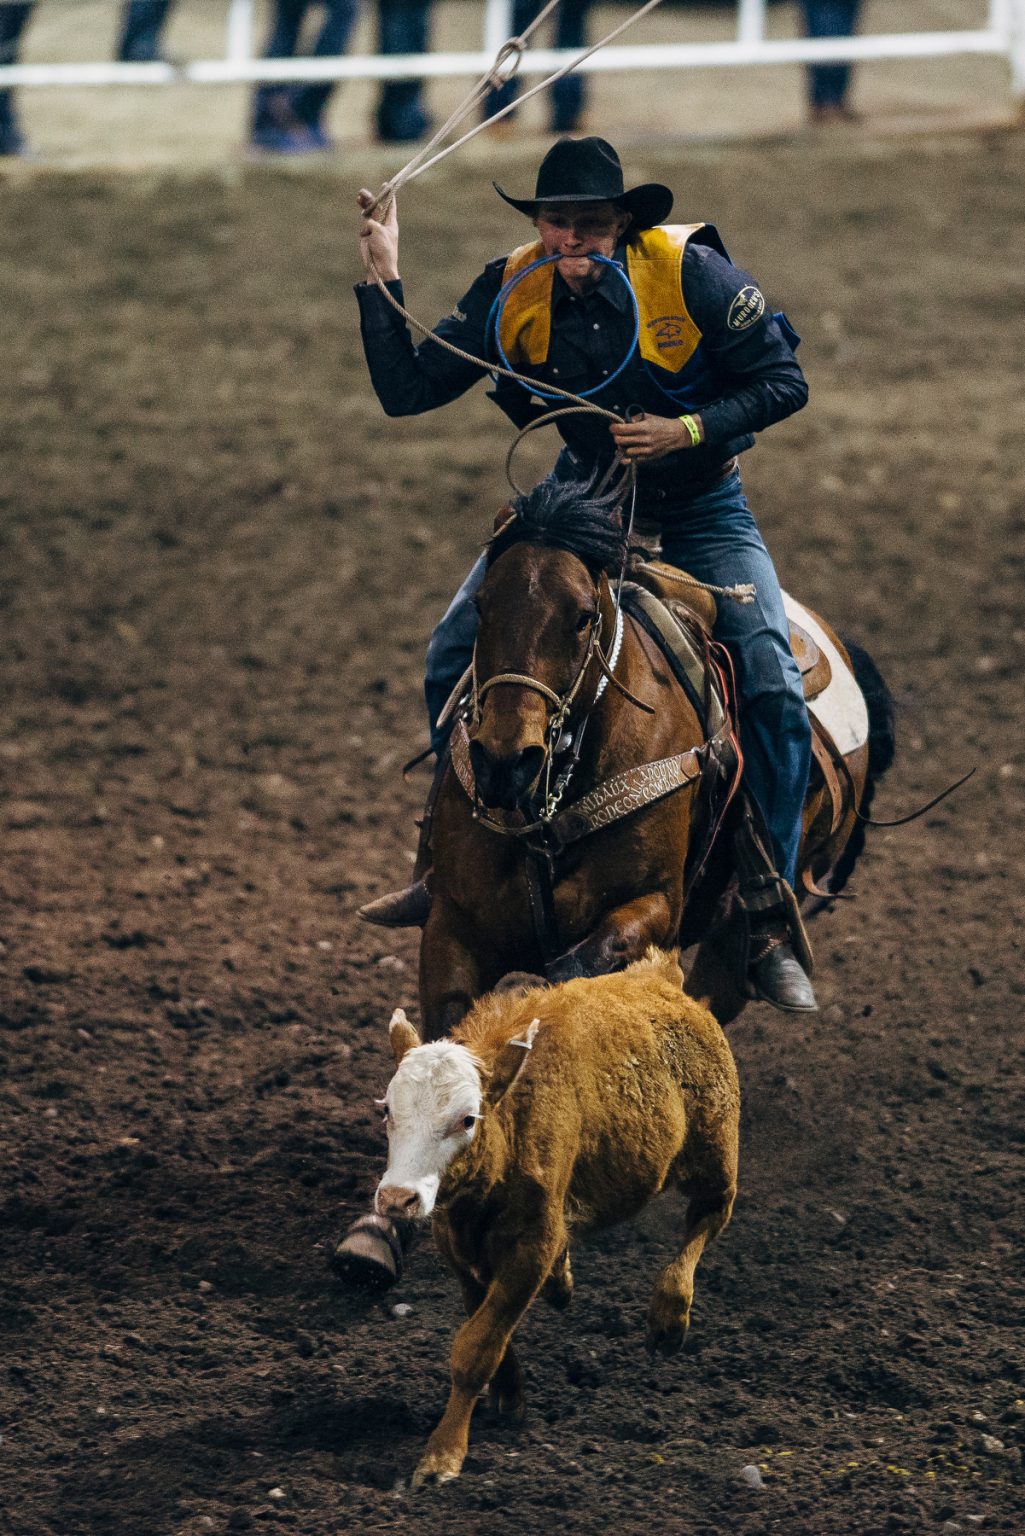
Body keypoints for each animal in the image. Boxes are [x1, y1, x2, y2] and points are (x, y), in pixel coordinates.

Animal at [417, 476, 891, 1032]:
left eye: (583, 618)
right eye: (481, 605)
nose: (505, 762)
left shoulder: (657, 906)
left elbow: (588, 960)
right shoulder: (450, 928)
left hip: (740, 929)